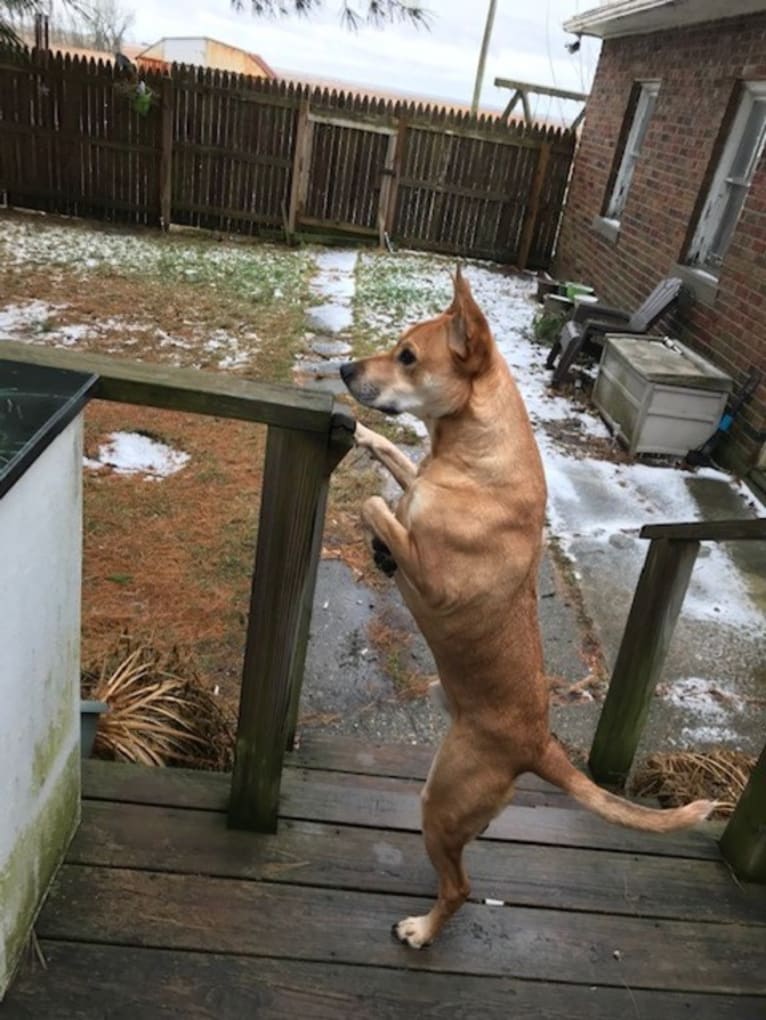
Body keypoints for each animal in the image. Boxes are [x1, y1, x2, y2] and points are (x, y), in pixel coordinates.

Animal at [338, 269, 718, 946]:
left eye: (408, 356)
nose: (343, 369)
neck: (471, 455)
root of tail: (539, 743)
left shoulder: (433, 576)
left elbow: (378, 506)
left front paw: (381, 541)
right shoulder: (418, 478)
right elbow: (396, 462)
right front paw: (362, 435)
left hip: (443, 800)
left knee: (459, 888)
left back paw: (422, 931)